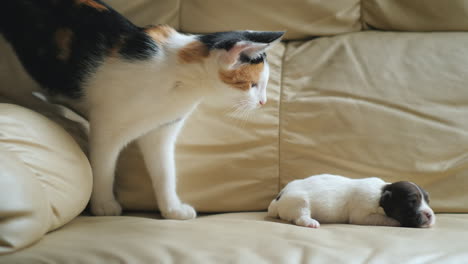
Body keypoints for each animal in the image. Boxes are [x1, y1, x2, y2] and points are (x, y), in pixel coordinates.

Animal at [0, 0, 284, 219]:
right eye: (252, 85)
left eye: (264, 86)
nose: (263, 102)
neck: (179, 81)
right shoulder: (106, 125)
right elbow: (103, 167)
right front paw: (104, 205)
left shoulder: (161, 132)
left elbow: (165, 172)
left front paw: (172, 209)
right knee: (19, 92)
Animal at [266, 174, 436, 228]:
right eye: (412, 201)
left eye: (428, 200)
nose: (430, 215)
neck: (381, 194)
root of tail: (278, 198)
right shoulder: (362, 215)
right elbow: (383, 218)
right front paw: (395, 222)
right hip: (299, 202)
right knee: (300, 217)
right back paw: (311, 222)